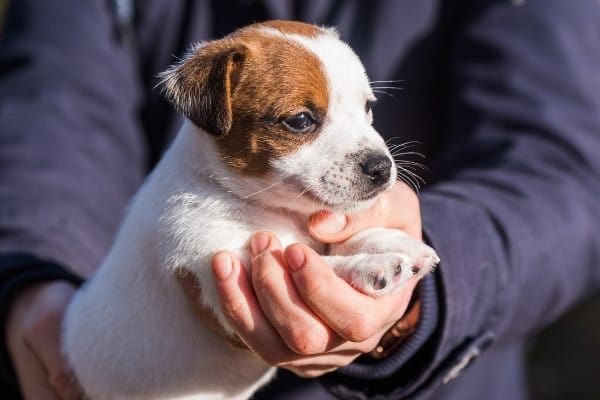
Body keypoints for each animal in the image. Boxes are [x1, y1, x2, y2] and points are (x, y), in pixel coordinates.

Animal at [63, 19, 440, 400]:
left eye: (367, 107)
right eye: (301, 120)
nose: (381, 167)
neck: (271, 208)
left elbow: (331, 246)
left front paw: (392, 242)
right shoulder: (221, 258)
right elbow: (321, 262)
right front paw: (370, 265)